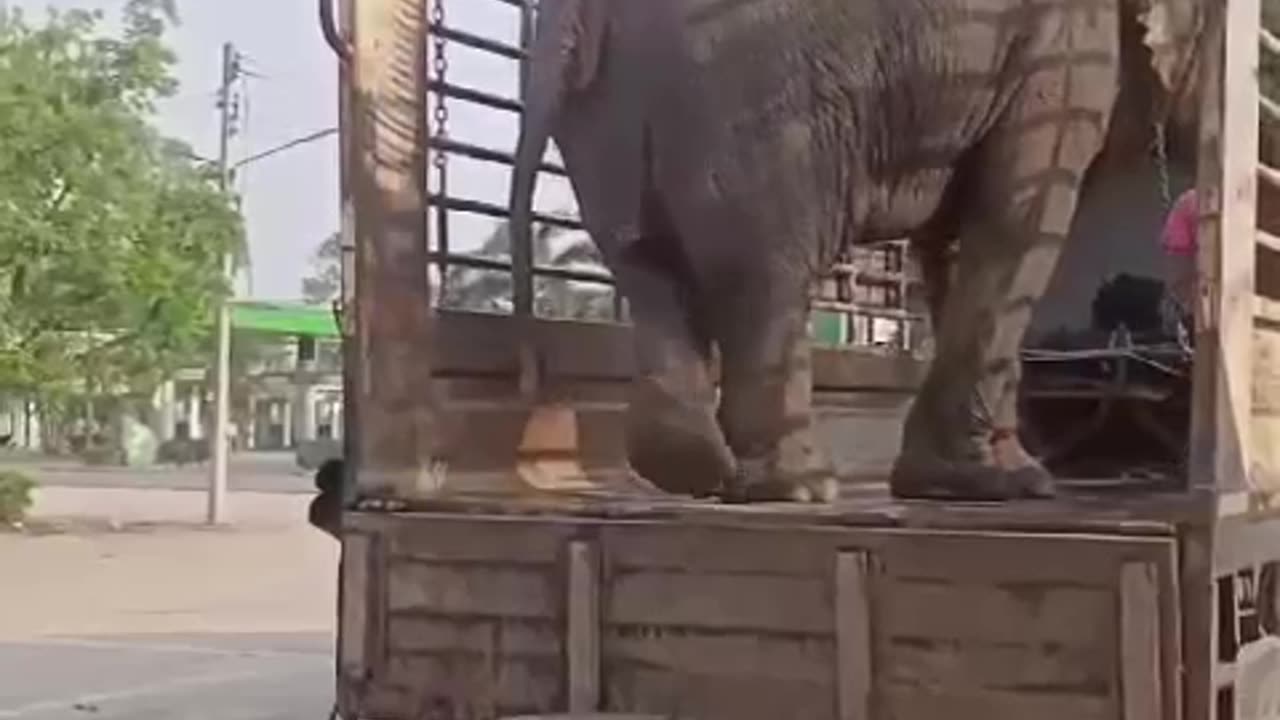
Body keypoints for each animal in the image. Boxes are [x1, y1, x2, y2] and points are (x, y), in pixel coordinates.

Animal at [504, 0, 1203, 499]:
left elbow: (952, 235)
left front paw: (956, 482)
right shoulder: (1061, 47)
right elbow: (1020, 215)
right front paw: (1015, 484)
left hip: (611, 114)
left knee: (645, 267)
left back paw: (695, 472)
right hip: (751, 99)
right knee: (766, 277)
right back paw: (800, 488)